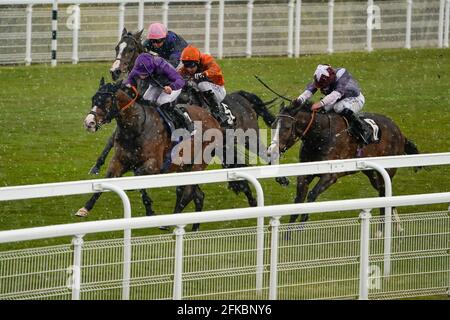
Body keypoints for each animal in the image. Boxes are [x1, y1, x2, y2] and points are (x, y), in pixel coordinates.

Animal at [79, 78, 223, 231]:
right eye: (93, 99)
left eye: (106, 101)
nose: (89, 122)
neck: (136, 127)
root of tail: (214, 119)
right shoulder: (119, 161)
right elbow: (106, 181)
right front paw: (85, 208)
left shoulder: (154, 165)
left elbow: (138, 178)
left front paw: (150, 210)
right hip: (184, 167)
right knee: (196, 194)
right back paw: (193, 227)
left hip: (197, 164)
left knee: (187, 192)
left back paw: (170, 221)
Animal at [266, 101, 420, 231]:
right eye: (273, 125)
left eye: (287, 127)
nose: (270, 151)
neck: (319, 135)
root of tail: (400, 133)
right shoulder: (305, 173)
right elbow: (298, 200)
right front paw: (288, 234)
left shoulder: (331, 175)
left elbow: (311, 195)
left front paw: (301, 226)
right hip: (373, 175)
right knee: (385, 194)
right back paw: (394, 228)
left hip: (387, 170)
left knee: (385, 194)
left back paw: (383, 231)